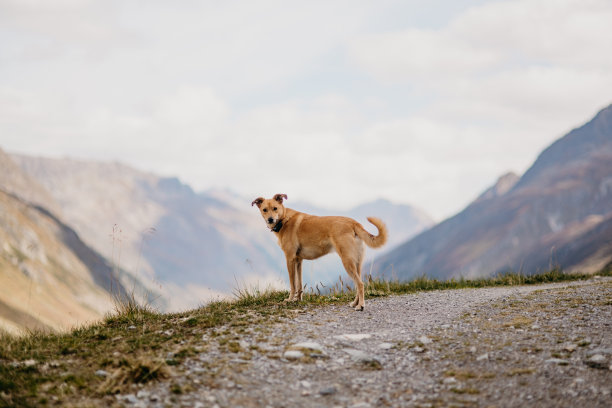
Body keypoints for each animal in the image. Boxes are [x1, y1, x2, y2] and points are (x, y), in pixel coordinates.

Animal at [250, 193, 388, 310]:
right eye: (264, 210)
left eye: (275, 208)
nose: (270, 220)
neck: (284, 220)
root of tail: (354, 223)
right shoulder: (298, 260)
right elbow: (299, 284)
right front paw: (298, 299)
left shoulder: (289, 258)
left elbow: (293, 284)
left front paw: (289, 300)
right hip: (357, 263)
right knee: (358, 284)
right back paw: (355, 303)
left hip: (347, 261)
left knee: (360, 284)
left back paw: (361, 306)